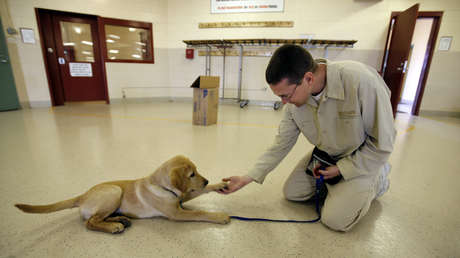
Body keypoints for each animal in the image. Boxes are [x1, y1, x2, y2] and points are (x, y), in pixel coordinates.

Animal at [14, 155, 230, 234]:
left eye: (197, 171)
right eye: (191, 174)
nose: (206, 181)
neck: (162, 187)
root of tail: (82, 196)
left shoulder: (182, 197)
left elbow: (198, 193)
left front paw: (220, 185)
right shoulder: (176, 213)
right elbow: (199, 213)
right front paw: (219, 216)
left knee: (97, 218)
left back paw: (121, 219)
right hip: (114, 191)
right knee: (90, 222)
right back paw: (114, 226)